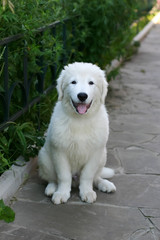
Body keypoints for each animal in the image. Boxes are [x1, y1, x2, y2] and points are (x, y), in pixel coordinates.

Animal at [38, 62, 116, 204]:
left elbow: (88, 175)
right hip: (44, 158)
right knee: (52, 178)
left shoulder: (95, 152)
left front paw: (87, 192)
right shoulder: (60, 151)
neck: (81, 120)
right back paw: (52, 188)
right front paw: (61, 193)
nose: (82, 96)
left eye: (91, 83)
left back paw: (105, 184)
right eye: (73, 82)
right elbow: (63, 176)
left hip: (103, 156)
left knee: (96, 177)